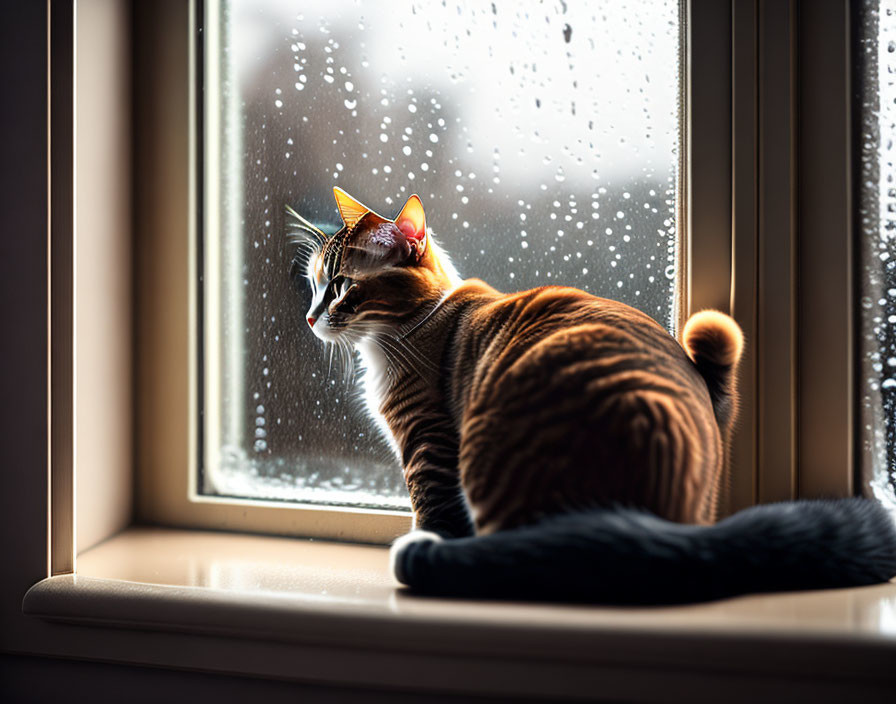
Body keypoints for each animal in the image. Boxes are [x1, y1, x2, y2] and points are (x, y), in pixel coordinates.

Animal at [288, 188, 896, 604]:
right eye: (316, 285)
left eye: (341, 287)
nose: (311, 317)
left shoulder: (429, 444)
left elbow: (433, 511)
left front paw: (429, 545)